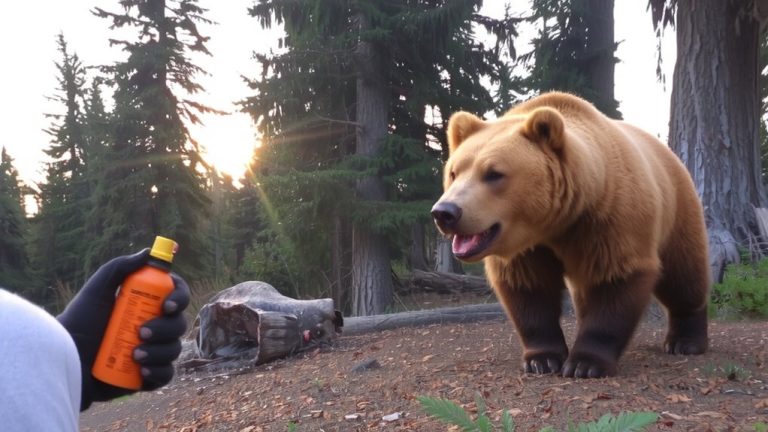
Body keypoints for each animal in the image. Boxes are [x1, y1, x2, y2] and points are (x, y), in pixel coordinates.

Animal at [431, 91, 709, 378]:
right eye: (454, 172)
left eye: (494, 173)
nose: (445, 212)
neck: (556, 224)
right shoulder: (529, 247)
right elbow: (530, 288)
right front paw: (542, 359)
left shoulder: (610, 220)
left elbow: (617, 277)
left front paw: (585, 363)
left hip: (677, 209)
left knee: (683, 275)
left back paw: (685, 341)